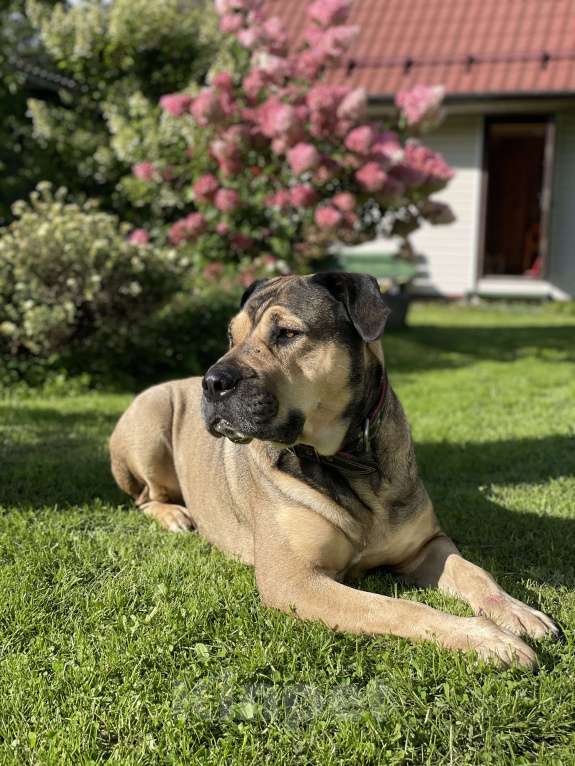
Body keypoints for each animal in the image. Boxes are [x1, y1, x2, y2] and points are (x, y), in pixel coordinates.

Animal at [109, 274, 560, 664]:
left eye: (287, 333)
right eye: (232, 337)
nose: (213, 382)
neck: (350, 459)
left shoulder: (427, 545)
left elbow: (475, 573)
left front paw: (518, 612)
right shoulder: (295, 580)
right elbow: (397, 607)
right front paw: (484, 638)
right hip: (151, 418)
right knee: (145, 497)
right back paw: (174, 515)